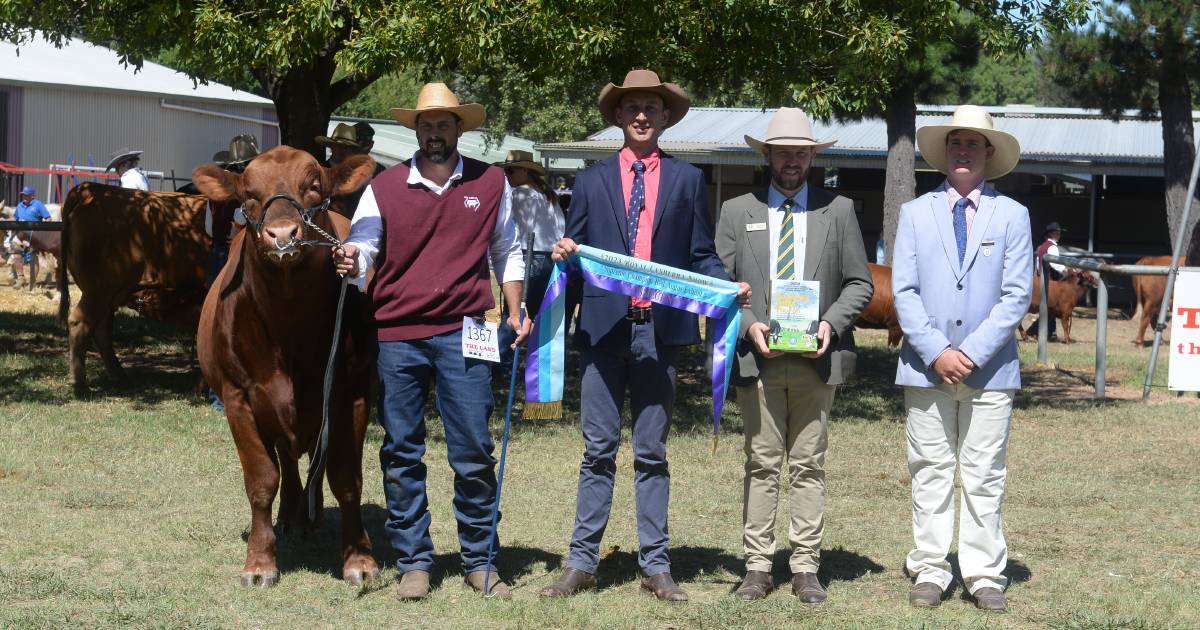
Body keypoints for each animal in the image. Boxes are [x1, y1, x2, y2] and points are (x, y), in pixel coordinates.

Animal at [194, 146, 376, 585]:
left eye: (313, 187)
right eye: (248, 195)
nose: (281, 234)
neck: (290, 326)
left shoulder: (352, 396)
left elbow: (347, 477)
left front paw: (359, 559)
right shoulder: (238, 399)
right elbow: (262, 480)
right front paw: (260, 562)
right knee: (287, 460)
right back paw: (293, 516)